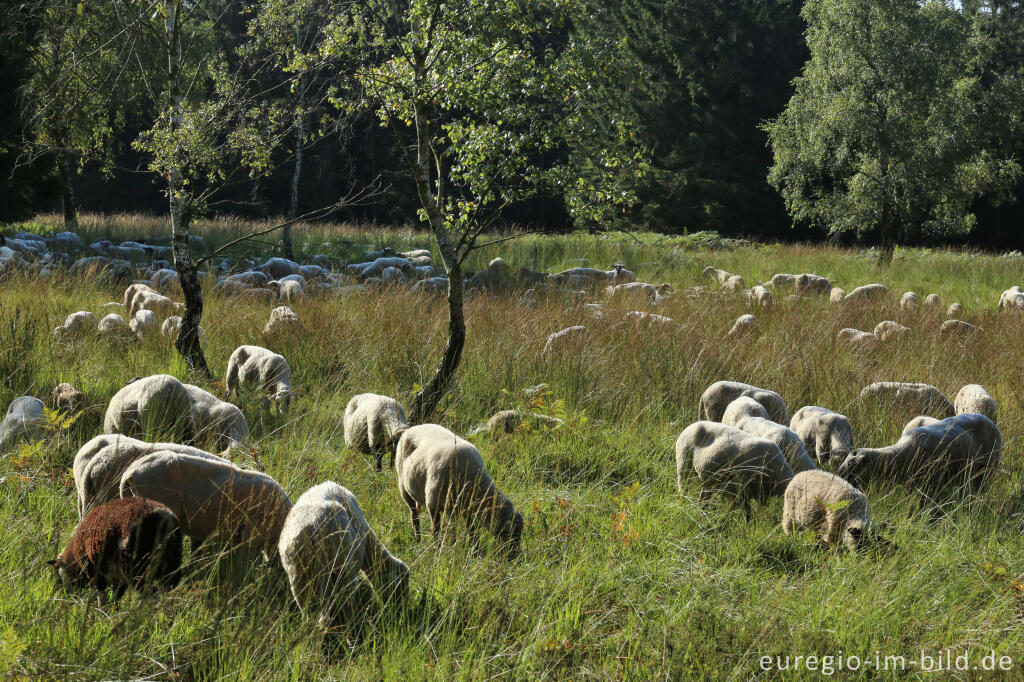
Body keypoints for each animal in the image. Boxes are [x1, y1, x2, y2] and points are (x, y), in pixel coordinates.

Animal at [48, 497, 183, 602]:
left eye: (58, 572)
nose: (62, 593)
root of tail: (158, 516)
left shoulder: (96, 571)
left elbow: (102, 596)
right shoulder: (118, 579)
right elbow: (116, 596)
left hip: (134, 566)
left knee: (148, 592)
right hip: (172, 560)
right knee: (169, 587)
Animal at [280, 477, 411, 626]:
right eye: (401, 587)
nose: (401, 611)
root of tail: (313, 529)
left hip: (298, 573)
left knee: (306, 608)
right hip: (341, 566)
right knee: (346, 601)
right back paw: (350, 626)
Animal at [391, 421, 520, 557]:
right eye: (509, 534)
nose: (515, 556)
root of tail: (410, 429)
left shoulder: (465, 509)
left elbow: (471, 531)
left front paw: (475, 550)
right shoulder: (433, 505)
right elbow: (436, 531)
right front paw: (437, 551)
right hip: (404, 489)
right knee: (414, 515)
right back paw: (418, 538)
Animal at [835, 411, 1003, 497]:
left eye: (851, 464)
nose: (838, 477)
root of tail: (989, 420)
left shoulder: (933, 484)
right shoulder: (912, 484)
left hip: (986, 472)